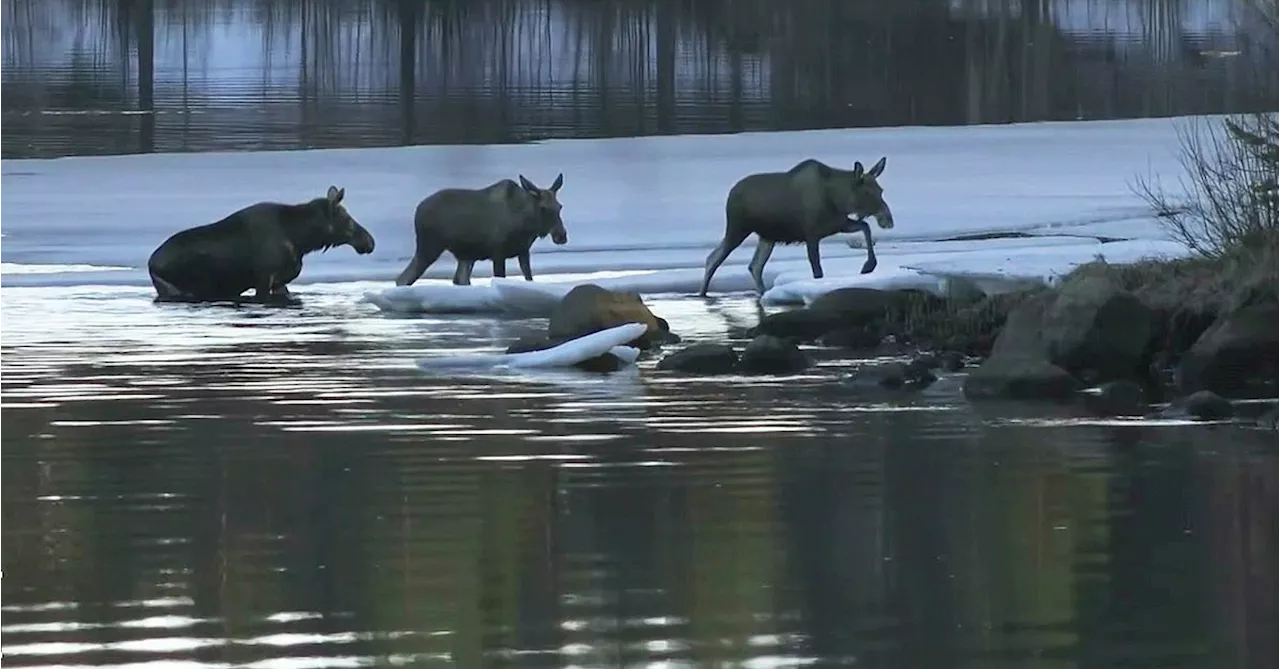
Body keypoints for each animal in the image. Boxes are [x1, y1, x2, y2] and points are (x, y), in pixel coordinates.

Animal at [147, 186, 373, 304]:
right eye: (348, 219)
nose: (369, 241)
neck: (302, 239)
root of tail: (150, 264)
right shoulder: (264, 278)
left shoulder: (280, 280)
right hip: (173, 289)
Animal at [394, 172, 565, 285]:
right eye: (543, 208)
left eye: (560, 206)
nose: (561, 236)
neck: (527, 226)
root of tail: (417, 210)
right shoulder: (498, 252)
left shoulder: (523, 251)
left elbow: (529, 278)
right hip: (430, 247)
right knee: (403, 279)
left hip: (464, 255)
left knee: (459, 280)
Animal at [701, 157, 890, 295]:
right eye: (867, 192)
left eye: (881, 190)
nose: (888, 220)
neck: (838, 200)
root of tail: (731, 193)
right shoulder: (812, 234)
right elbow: (817, 269)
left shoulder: (837, 224)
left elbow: (865, 227)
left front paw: (868, 265)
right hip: (738, 228)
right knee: (713, 259)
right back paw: (703, 293)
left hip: (767, 237)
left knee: (755, 266)